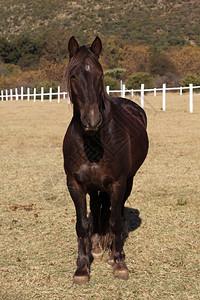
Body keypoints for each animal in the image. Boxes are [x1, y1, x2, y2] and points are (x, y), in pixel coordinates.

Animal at [63, 36, 148, 284]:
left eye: (100, 75)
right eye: (74, 75)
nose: (92, 120)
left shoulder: (118, 183)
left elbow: (116, 221)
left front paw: (119, 263)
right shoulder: (75, 184)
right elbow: (82, 224)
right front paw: (82, 268)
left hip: (128, 181)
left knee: (114, 212)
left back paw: (110, 250)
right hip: (94, 186)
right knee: (98, 206)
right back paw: (98, 245)